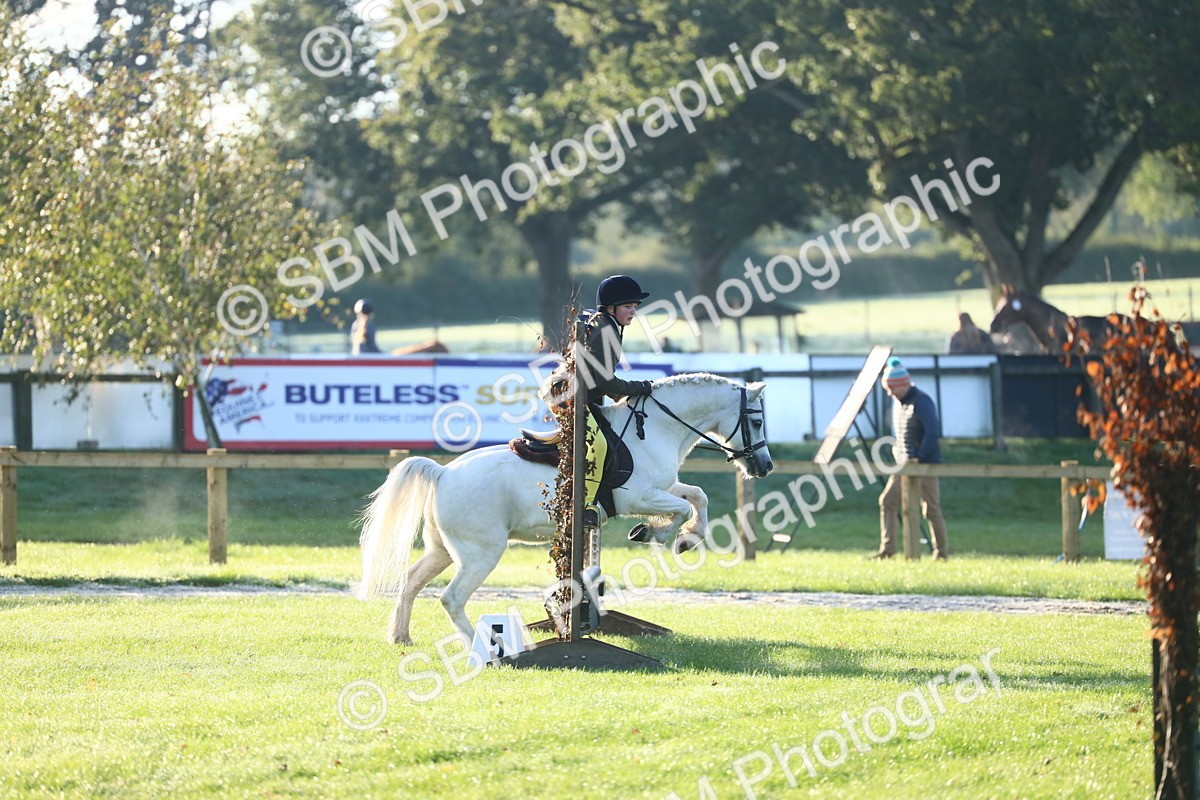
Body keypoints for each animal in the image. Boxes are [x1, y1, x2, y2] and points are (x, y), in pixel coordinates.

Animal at [357, 373, 773, 644]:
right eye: (756, 420)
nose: (765, 466)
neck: (656, 429)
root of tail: (443, 473)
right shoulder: (640, 496)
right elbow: (682, 509)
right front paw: (659, 533)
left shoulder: (664, 487)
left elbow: (698, 497)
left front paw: (687, 539)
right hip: (481, 553)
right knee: (452, 598)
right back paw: (488, 647)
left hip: (442, 549)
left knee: (411, 581)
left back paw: (400, 636)